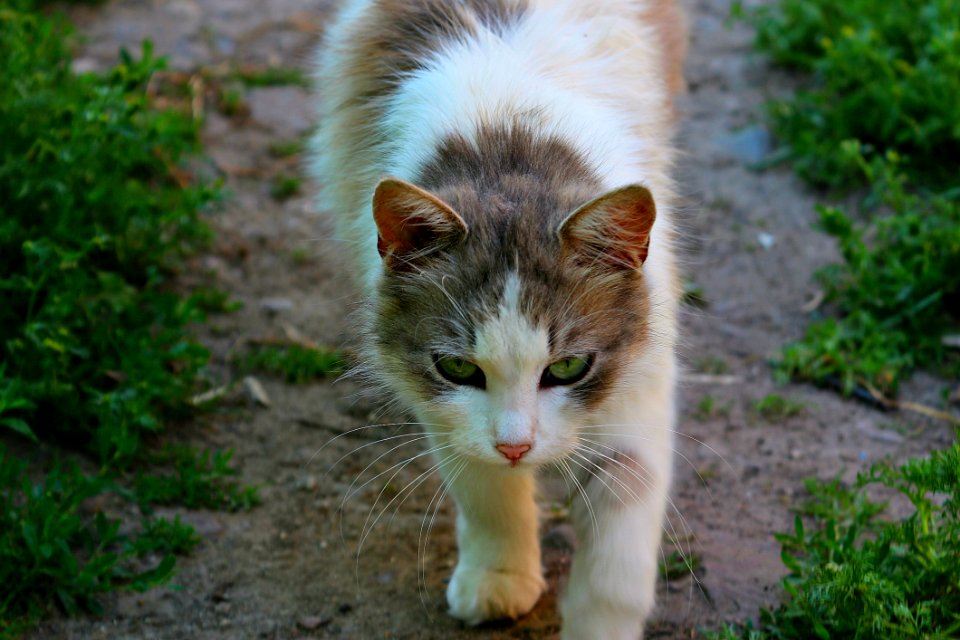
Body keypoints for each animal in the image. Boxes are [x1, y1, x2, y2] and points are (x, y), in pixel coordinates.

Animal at [312, 2, 688, 636]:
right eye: (460, 368)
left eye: (568, 367)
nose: (517, 447)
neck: (508, 134)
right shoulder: (440, 402)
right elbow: (484, 488)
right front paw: (499, 576)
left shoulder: (638, 380)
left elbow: (616, 555)